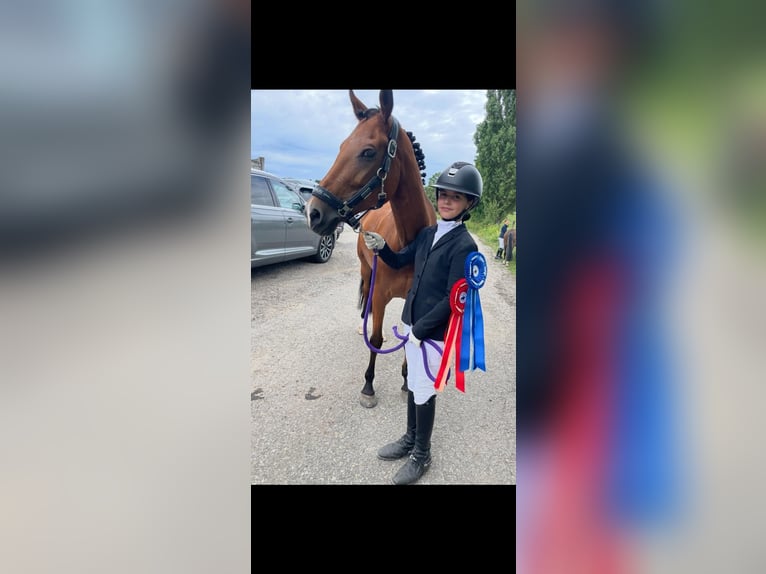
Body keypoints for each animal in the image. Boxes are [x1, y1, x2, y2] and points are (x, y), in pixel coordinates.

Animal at [306, 90, 437, 408]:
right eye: (342, 146)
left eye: (367, 151)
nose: (313, 212)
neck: (409, 244)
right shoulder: (380, 294)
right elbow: (375, 339)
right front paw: (368, 386)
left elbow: (410, 338)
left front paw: (407, 381)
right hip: (367, 271)